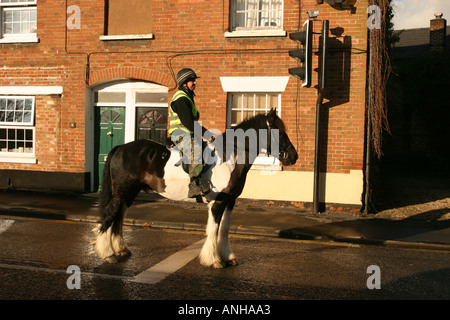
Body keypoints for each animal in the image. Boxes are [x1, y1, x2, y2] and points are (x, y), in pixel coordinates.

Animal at [95, 109, 298, 268]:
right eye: (279, 131)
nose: (293, 156)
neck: (230, 155)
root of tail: (121, 147)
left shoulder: (230, 201)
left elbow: (224, 229)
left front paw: (228, 257)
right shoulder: (218, 202)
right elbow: (213, 230)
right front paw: (214, 260)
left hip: (129, 193)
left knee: (118, 217)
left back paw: (121, 249)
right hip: (121, 192)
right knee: (110, 215)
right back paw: (108, 254)